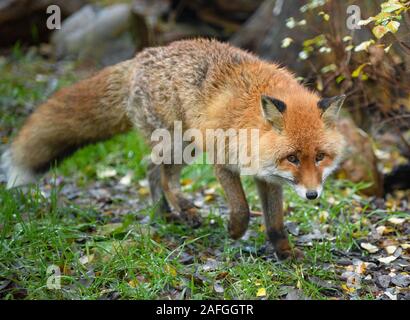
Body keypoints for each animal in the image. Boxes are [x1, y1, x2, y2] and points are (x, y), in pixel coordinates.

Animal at [2, 39, 346, 260]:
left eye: (319, 157)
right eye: (292, 158)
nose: (313, 195)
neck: (250, 121)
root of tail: (141, 57)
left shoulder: (268, 178)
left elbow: (275, 222)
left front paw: (285, 253)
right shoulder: (222, 161)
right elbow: (241, 208)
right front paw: (235, 231)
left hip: (181, 148)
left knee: (151, 170)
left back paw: (164, 213)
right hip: (181, 142)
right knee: (165, 177)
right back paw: (184, 208)